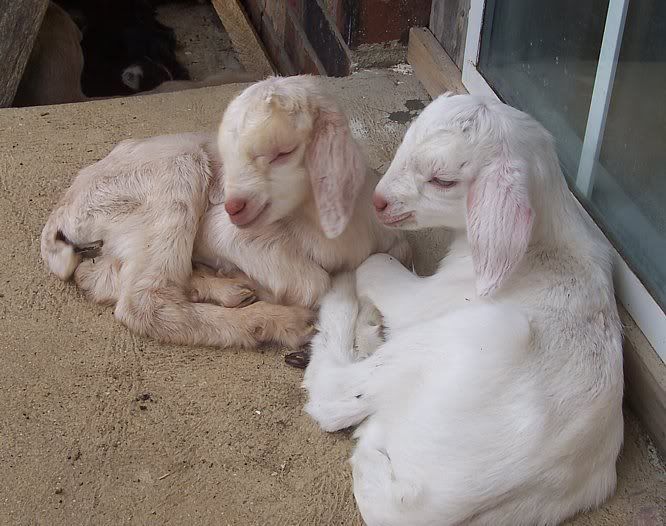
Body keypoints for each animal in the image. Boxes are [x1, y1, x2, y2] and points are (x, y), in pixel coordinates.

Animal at [41, 75, 410, 351]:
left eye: (283, 152)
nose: (233, 205)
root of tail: (64, 211)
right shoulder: (223, 232)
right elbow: (315, 283)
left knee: (100, 278)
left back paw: (227, 288)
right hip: (172, 177)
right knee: (144, 300)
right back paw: (271, 320)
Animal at [304, 94, 623, 526]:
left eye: (443, 180)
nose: (378, 202)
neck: (541, 246)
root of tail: (436, 505)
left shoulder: (425, 301)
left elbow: (374, 265)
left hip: (463, 337)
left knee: (332, 393)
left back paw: (337, 296)